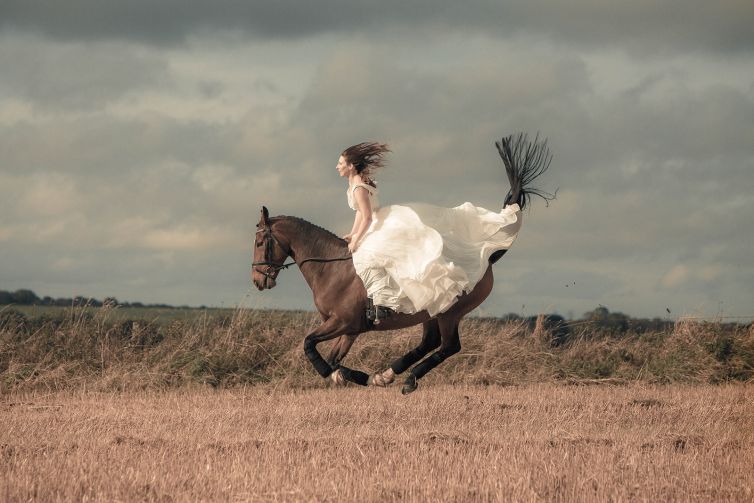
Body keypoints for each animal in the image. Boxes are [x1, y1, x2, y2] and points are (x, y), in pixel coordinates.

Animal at [250, 133, 548, 394]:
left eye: (259, 242)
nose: (258, 281)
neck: (330, 268)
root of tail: (487, 258)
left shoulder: (342, 322)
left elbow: (309, 344)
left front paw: (340, 375)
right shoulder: (350, 329)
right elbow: (333, 358)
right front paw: (353, 376)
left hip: (449, 312)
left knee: (449, 346)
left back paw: (408, 379)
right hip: (431, 313)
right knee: (430, 342)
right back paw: (386, 375)